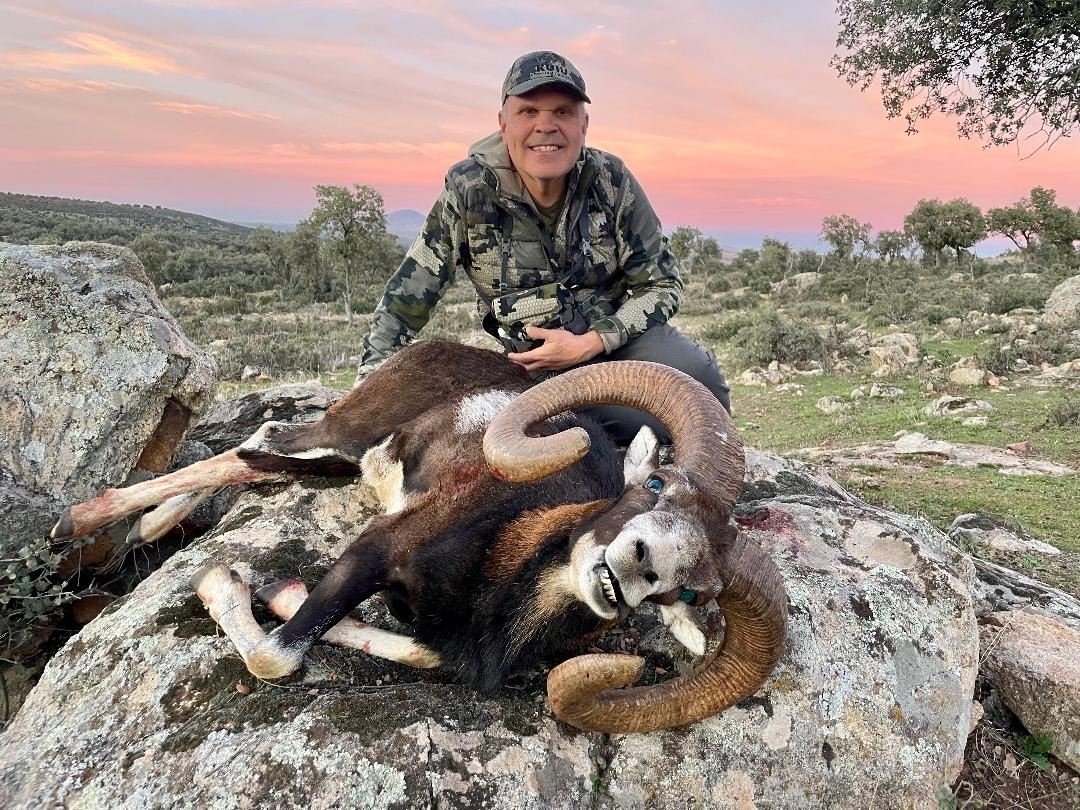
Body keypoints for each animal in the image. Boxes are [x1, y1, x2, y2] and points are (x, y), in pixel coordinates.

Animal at [52, 340, 787, 733]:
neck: (498, 575)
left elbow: (412, 650)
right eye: (657, 485)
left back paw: (139, 525)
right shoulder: (377, 550)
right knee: (254, 447)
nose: (639, 565)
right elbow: (276, 657)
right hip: (346, 432)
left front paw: (282, 592)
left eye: (694, 593)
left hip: (337, 461)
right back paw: (80, 522)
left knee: (259, 456)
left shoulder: (450, 646)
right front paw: (219, 579)